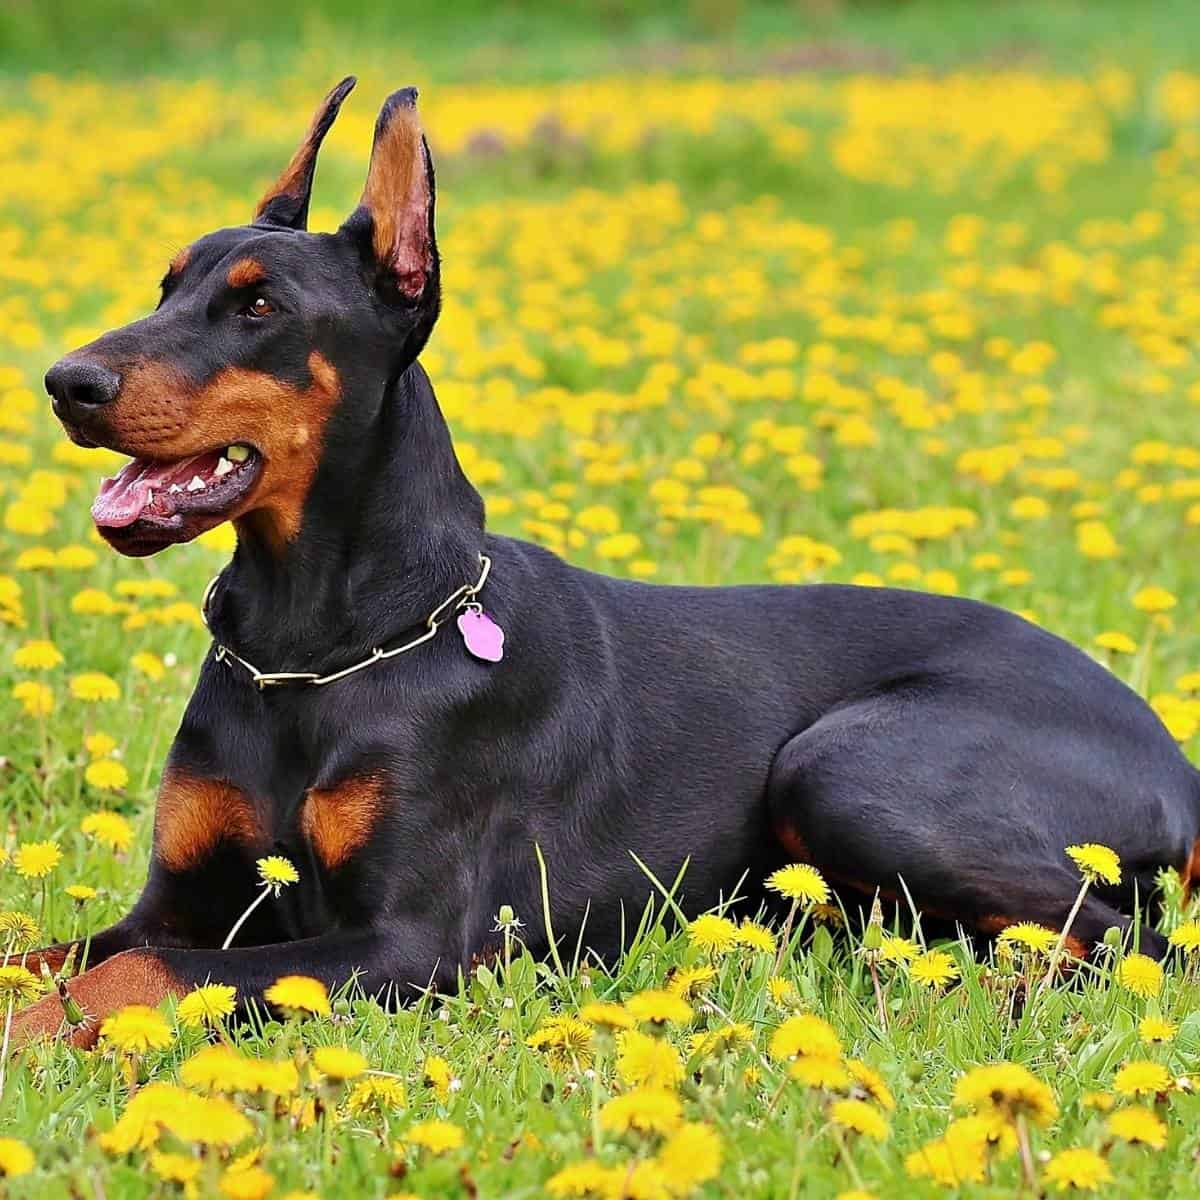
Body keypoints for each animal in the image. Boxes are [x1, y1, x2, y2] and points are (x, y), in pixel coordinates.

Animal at [11, 82, 1200, 1041]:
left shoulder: (413, 942)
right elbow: (63, 953)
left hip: (847, 768)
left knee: (1128, 941)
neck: (312, 643)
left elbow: (134, 978)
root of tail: (1175, 758)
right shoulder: (176, 901)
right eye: (165, 286)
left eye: (259, 304)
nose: (66, 383)